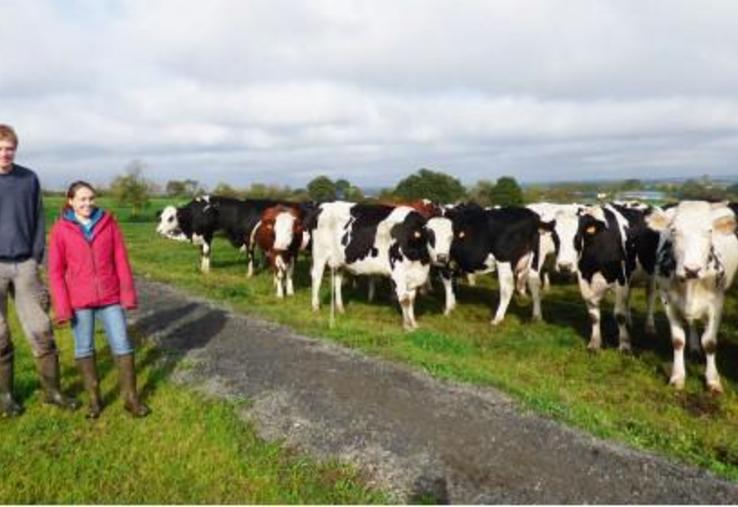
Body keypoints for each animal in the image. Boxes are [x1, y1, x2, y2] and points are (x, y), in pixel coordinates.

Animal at [157, 195, 286, 274]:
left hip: (249, 238)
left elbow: (206, 253)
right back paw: (261, 267)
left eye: (170, 218)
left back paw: (249, 274)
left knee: (251, 256)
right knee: (262, 253)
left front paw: (206, 271)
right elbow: (201, 253)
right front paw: (202, 269)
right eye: (161, 217)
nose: (158, 231)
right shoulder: (200, 237)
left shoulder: (207, 235)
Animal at [306, 200, 432, 332]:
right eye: (431, 237)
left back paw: (340, 308)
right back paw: (315, 306)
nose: (440, 256)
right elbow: (405, 300)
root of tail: (323, 205)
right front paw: (407, 326)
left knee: (338, 281)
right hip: (320, 254)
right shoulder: (399, 274)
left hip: (339, 260)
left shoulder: (414, 276)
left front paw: (413, 323)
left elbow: (411, 299)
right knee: (317, 277)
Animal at [648, 201, 732, 392]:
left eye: (709, 231)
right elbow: (678, 341)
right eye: (673, 230)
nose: (691, 269)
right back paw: (694, 346)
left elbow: (710, 342)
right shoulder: (668, 301)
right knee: (692, 322)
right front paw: (677, 376)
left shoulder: (717, 302)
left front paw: (713, 380)